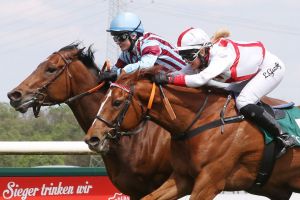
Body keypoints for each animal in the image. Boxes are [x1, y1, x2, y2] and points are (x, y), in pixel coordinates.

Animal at [85, 69, 300, 200]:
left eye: (117, 102)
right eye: (102, 99)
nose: (92, 138)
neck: (201, 119)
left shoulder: (209, 181)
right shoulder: (182, 177)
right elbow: (151, 196)